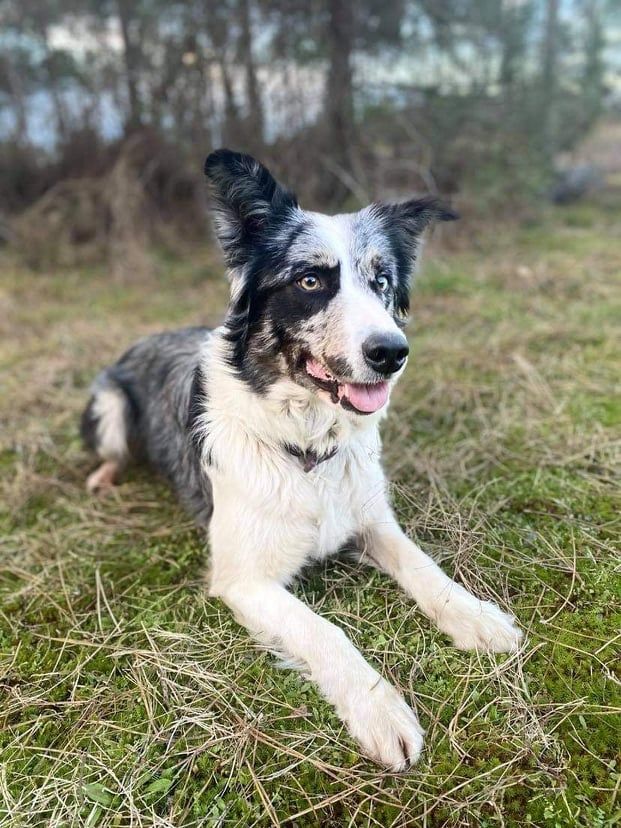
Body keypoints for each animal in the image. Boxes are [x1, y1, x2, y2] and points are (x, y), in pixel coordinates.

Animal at [80, 149, 520, 768]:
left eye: (381, 282)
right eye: (311, 280)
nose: (392, 353)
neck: (309, 445)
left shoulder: (371, 519)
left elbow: (424, 567)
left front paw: (476, 617)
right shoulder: (243, 579)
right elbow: (325, 631)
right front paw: (379, 710)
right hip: (112, 405)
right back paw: (103, 476)